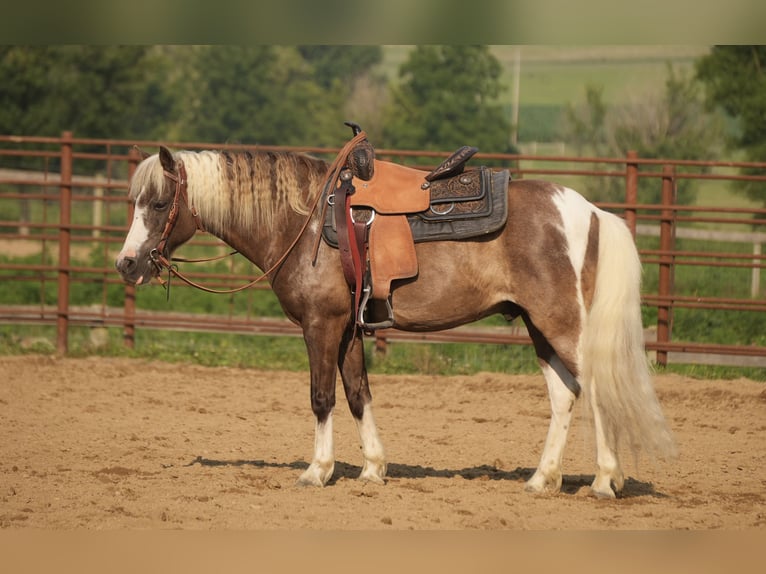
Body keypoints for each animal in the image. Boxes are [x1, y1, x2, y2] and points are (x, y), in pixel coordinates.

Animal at [115, 143, 677, 498]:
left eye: (159, 202)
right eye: (133, 201)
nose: (126, 263)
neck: (304, 223)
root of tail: (591, 212)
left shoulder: (321, 325)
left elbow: (322, 396)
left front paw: (317, 471)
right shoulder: (348, 329)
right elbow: (358, 393)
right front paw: (372, 470)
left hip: (562, 325)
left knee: (596, 390)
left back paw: (604, 481)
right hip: (542, 327)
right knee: (565, 396)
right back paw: (544, 480)